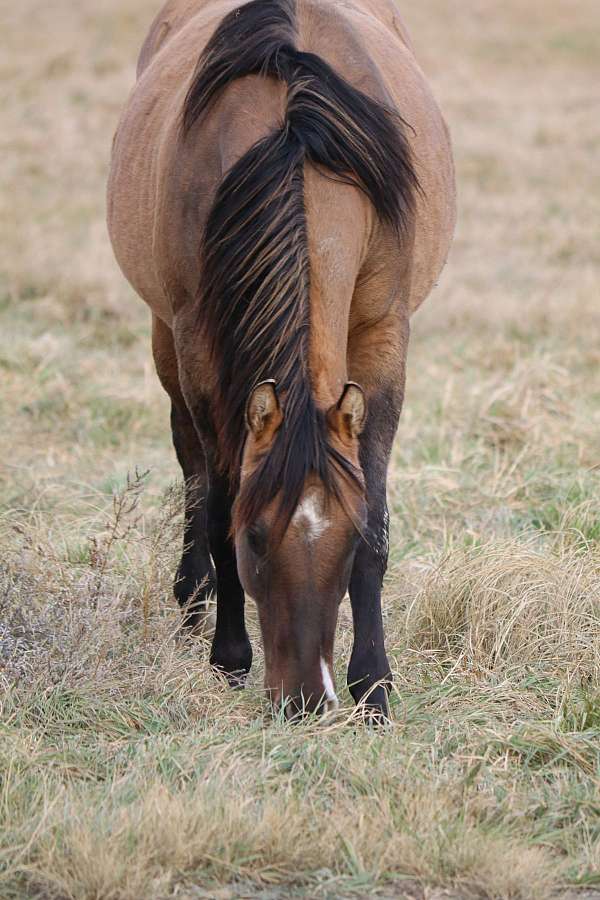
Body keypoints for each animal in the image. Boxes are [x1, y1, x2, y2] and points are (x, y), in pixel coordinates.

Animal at [107, 0, 455, 719]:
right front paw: (229, 657)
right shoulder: (199, 348)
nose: (306, 700)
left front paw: (373, 682)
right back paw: (192, 598)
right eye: (256, 539)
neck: (297, 148)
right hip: (165, 337)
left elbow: (379, 519)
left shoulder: (382, 337)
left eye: (344, 540)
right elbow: (217, 500)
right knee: (189, 461)